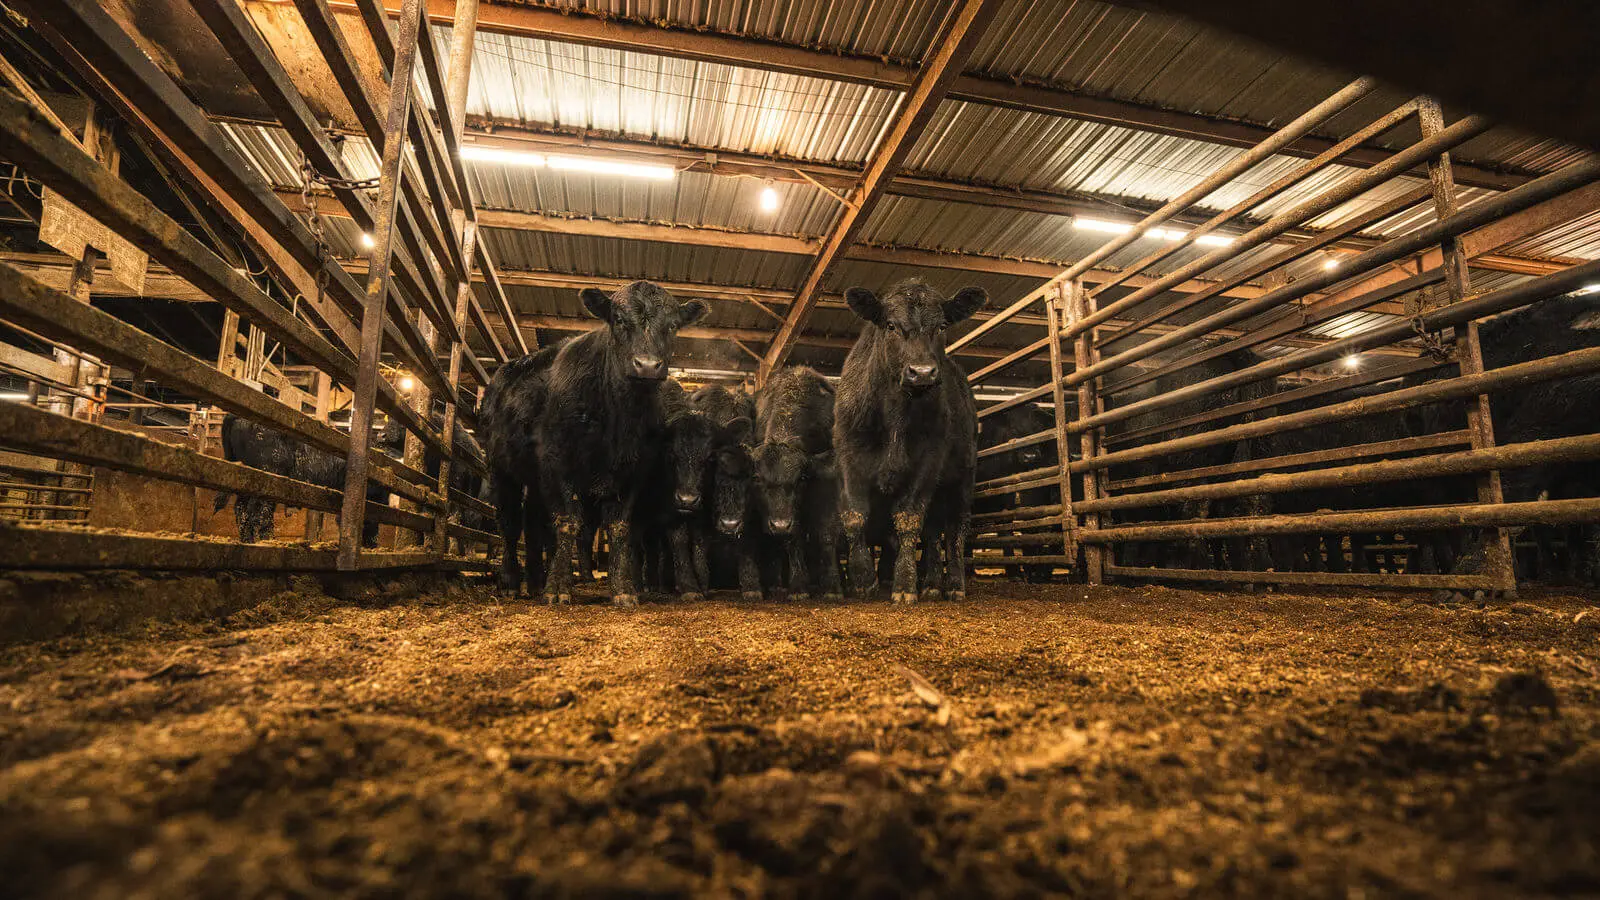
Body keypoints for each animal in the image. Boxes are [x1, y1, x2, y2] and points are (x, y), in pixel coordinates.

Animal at [752, 360, 844, 598]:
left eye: (801, 478)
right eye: (758, 479)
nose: (779, 525)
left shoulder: (826, 487)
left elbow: (826, 532)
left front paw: (832, 586)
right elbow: (794, 538)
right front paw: (798, 586)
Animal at [832, 278, 979, 602]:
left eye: (941, 326)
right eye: (890, 325)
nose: (922, 372)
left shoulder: (928, 463)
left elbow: (909, 519)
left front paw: (904, 585)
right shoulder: (849, 458)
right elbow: (855, 515)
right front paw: (863, 580)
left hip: (963, 477)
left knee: (955, 530)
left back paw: (955, 585)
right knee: (933, 532)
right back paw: (933, 584)